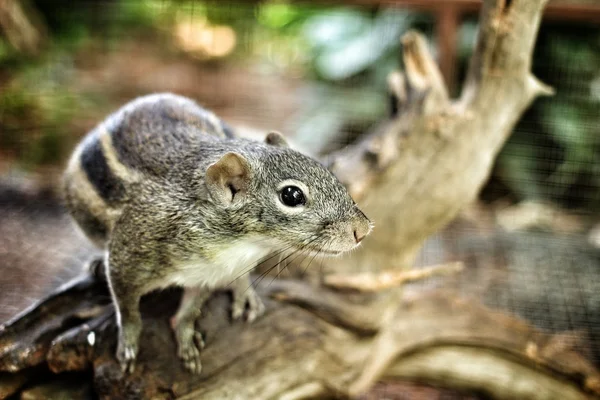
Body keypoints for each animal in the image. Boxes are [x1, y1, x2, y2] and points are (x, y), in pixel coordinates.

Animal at [61, 94, 370, 376]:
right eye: (291, 195)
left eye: (324, 169)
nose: (363, 229)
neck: (237, 243)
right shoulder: (128, 256)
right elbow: (127, 306)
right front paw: (128, 342)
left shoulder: (207, 274)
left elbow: (190, 309)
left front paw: (185, 335)